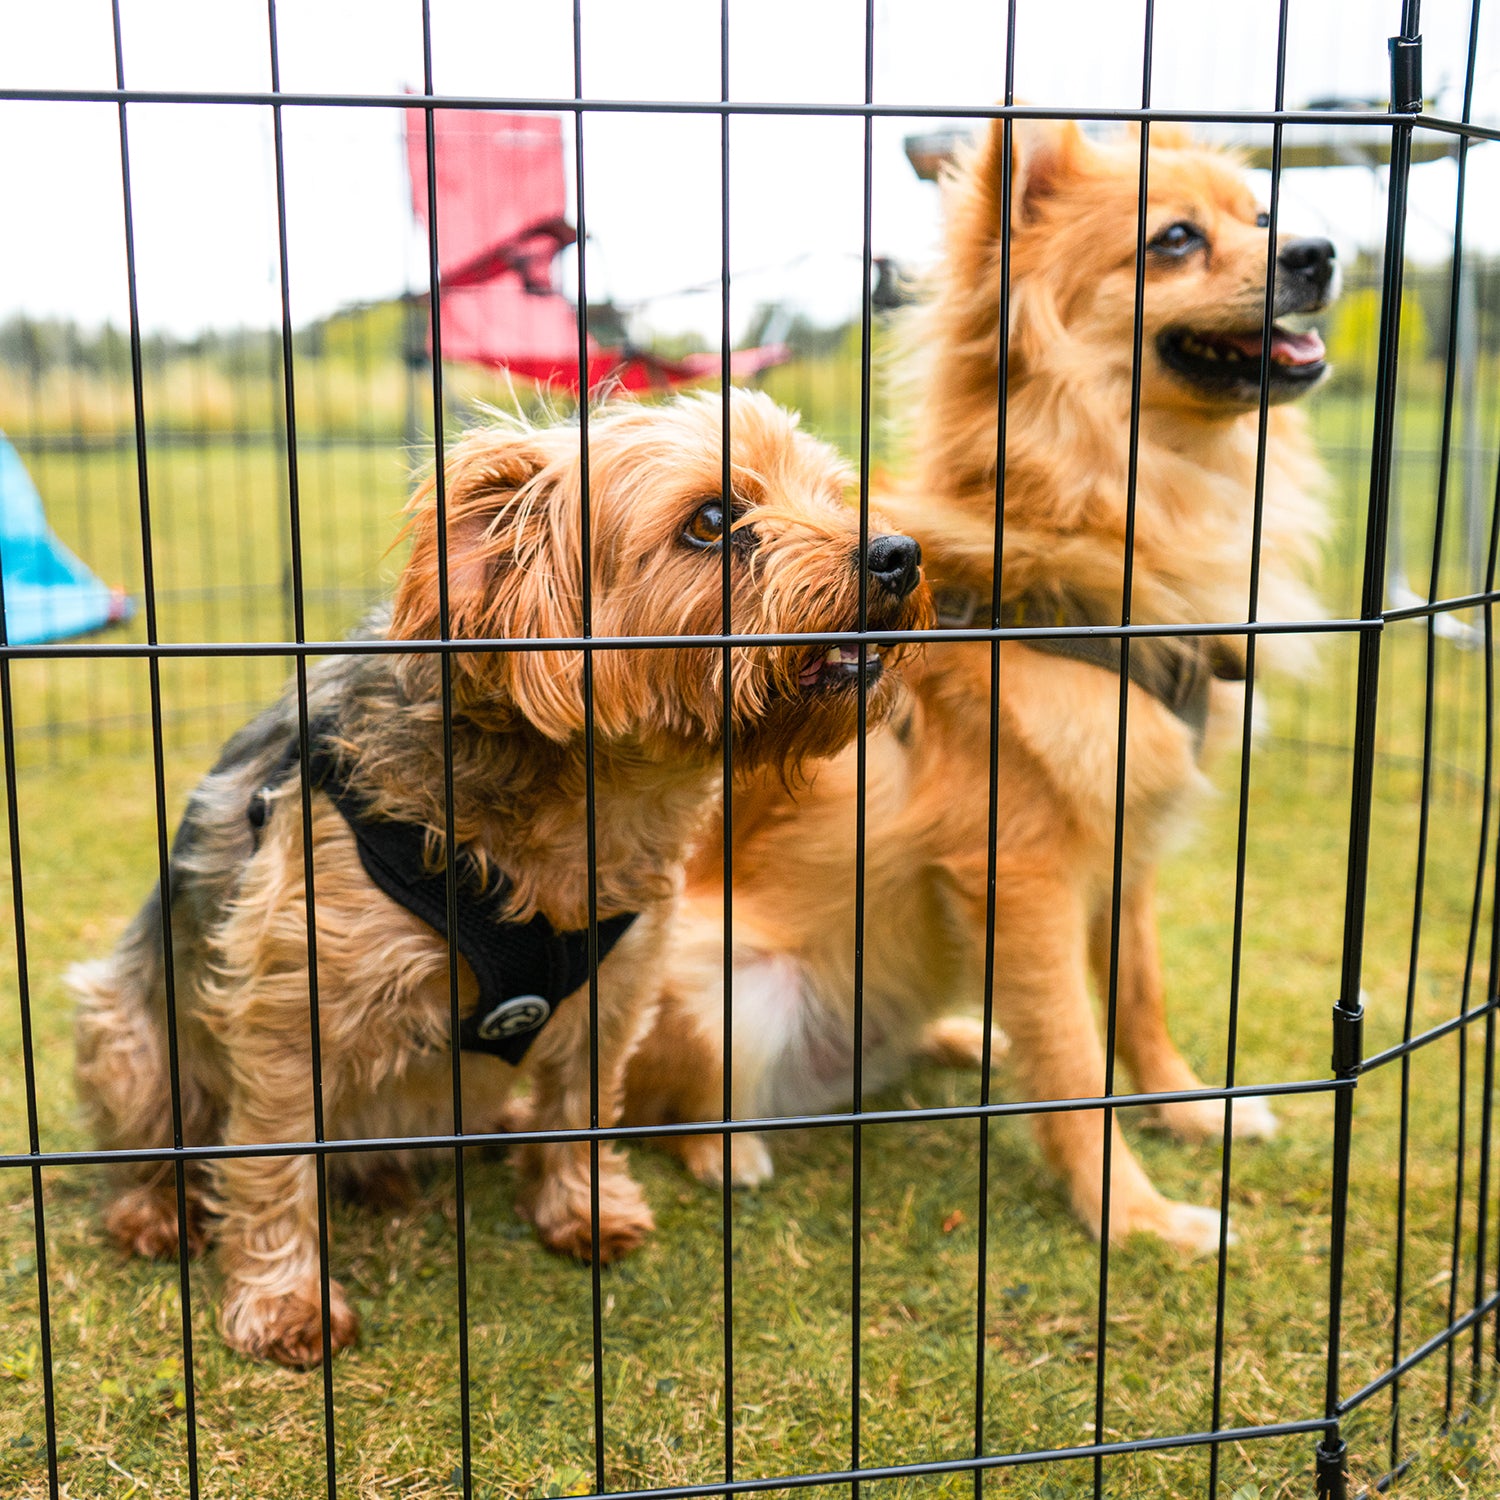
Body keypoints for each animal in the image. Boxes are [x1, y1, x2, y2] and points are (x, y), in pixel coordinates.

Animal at [76, 390, 930, 1374]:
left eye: (834, 494)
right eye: (714, 521)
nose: (900, 553)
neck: (590, 802)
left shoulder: (617, 987)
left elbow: (585, 1100)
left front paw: (584, 1208)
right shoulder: (288, 1006)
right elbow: (273, 1156)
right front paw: (283, 1301)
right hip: (125, 1031)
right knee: (155, 1140)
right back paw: (156, 1211)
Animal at [627, 117, 1332, 1248]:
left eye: (1263, 218)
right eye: (1176, 239)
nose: (1322, 253)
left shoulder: (1121, 847)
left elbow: (1138, 993)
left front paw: (1189, 1109)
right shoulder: (1024, 872)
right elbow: (1076, 1057)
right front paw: (1135, 1220)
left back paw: (961, 1039)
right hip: (717, 977)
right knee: (653, 1100)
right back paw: (727, 1150)